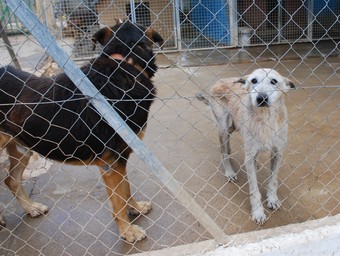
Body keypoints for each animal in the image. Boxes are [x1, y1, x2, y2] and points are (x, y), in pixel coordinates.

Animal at [0, 21, 163, 242]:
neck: (125, 64)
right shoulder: (111, 163)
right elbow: (118, 199)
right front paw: (128, 231)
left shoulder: (120, 158)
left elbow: (126, 189)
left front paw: (135, 209)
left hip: (21, 148)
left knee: (11, 180)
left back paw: (31, 207)